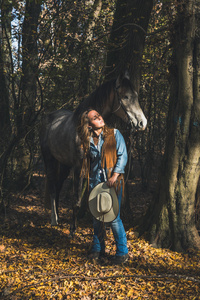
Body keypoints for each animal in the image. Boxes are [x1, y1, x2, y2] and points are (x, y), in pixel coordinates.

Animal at [40, 72, 147, 232]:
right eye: (126, 96)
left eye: (136, 95)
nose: (142, 123)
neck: (84, 130)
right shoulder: (79, 167)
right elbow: (76, 199)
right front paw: (73, 229)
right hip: (49, 160)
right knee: (53, 187)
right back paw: (54, 220)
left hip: (64, 164)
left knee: (58, 187)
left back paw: (58, 217)